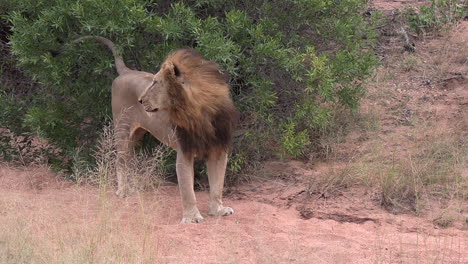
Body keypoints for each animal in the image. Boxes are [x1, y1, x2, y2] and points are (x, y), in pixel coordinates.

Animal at [67, 36, 239, 223]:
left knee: (131, 159)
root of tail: (127, 71)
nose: (141, 100)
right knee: (120, 161)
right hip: (122, 129)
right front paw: (192, 217)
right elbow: (188, 190)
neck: (200, 111)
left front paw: (218, 209)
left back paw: (134, 186)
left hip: (137, 134)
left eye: (156, 82)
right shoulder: (184, 151)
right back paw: (123, 191)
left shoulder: (218, 149)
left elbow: (217, 185)